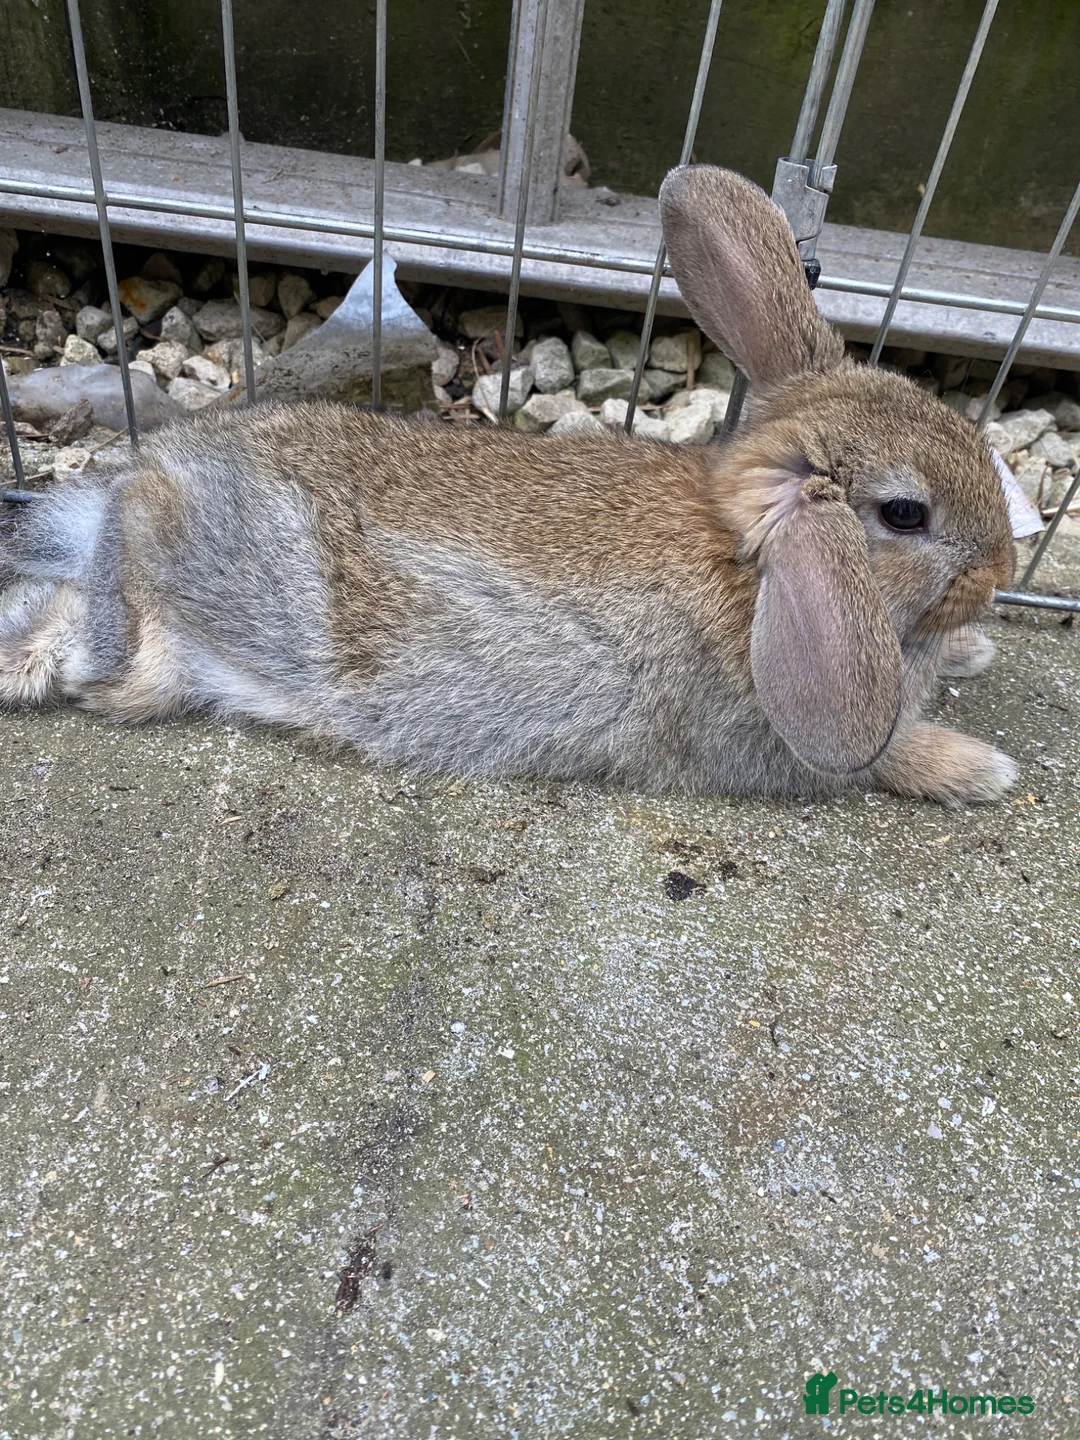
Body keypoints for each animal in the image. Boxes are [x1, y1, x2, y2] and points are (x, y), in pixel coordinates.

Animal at [0, 164, 1017, 806]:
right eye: (904, 514)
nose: (1003, 572)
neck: (750, 559)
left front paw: (974, 654)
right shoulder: (775, 739)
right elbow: (879, 756)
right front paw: (981, 770)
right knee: (126, 543)